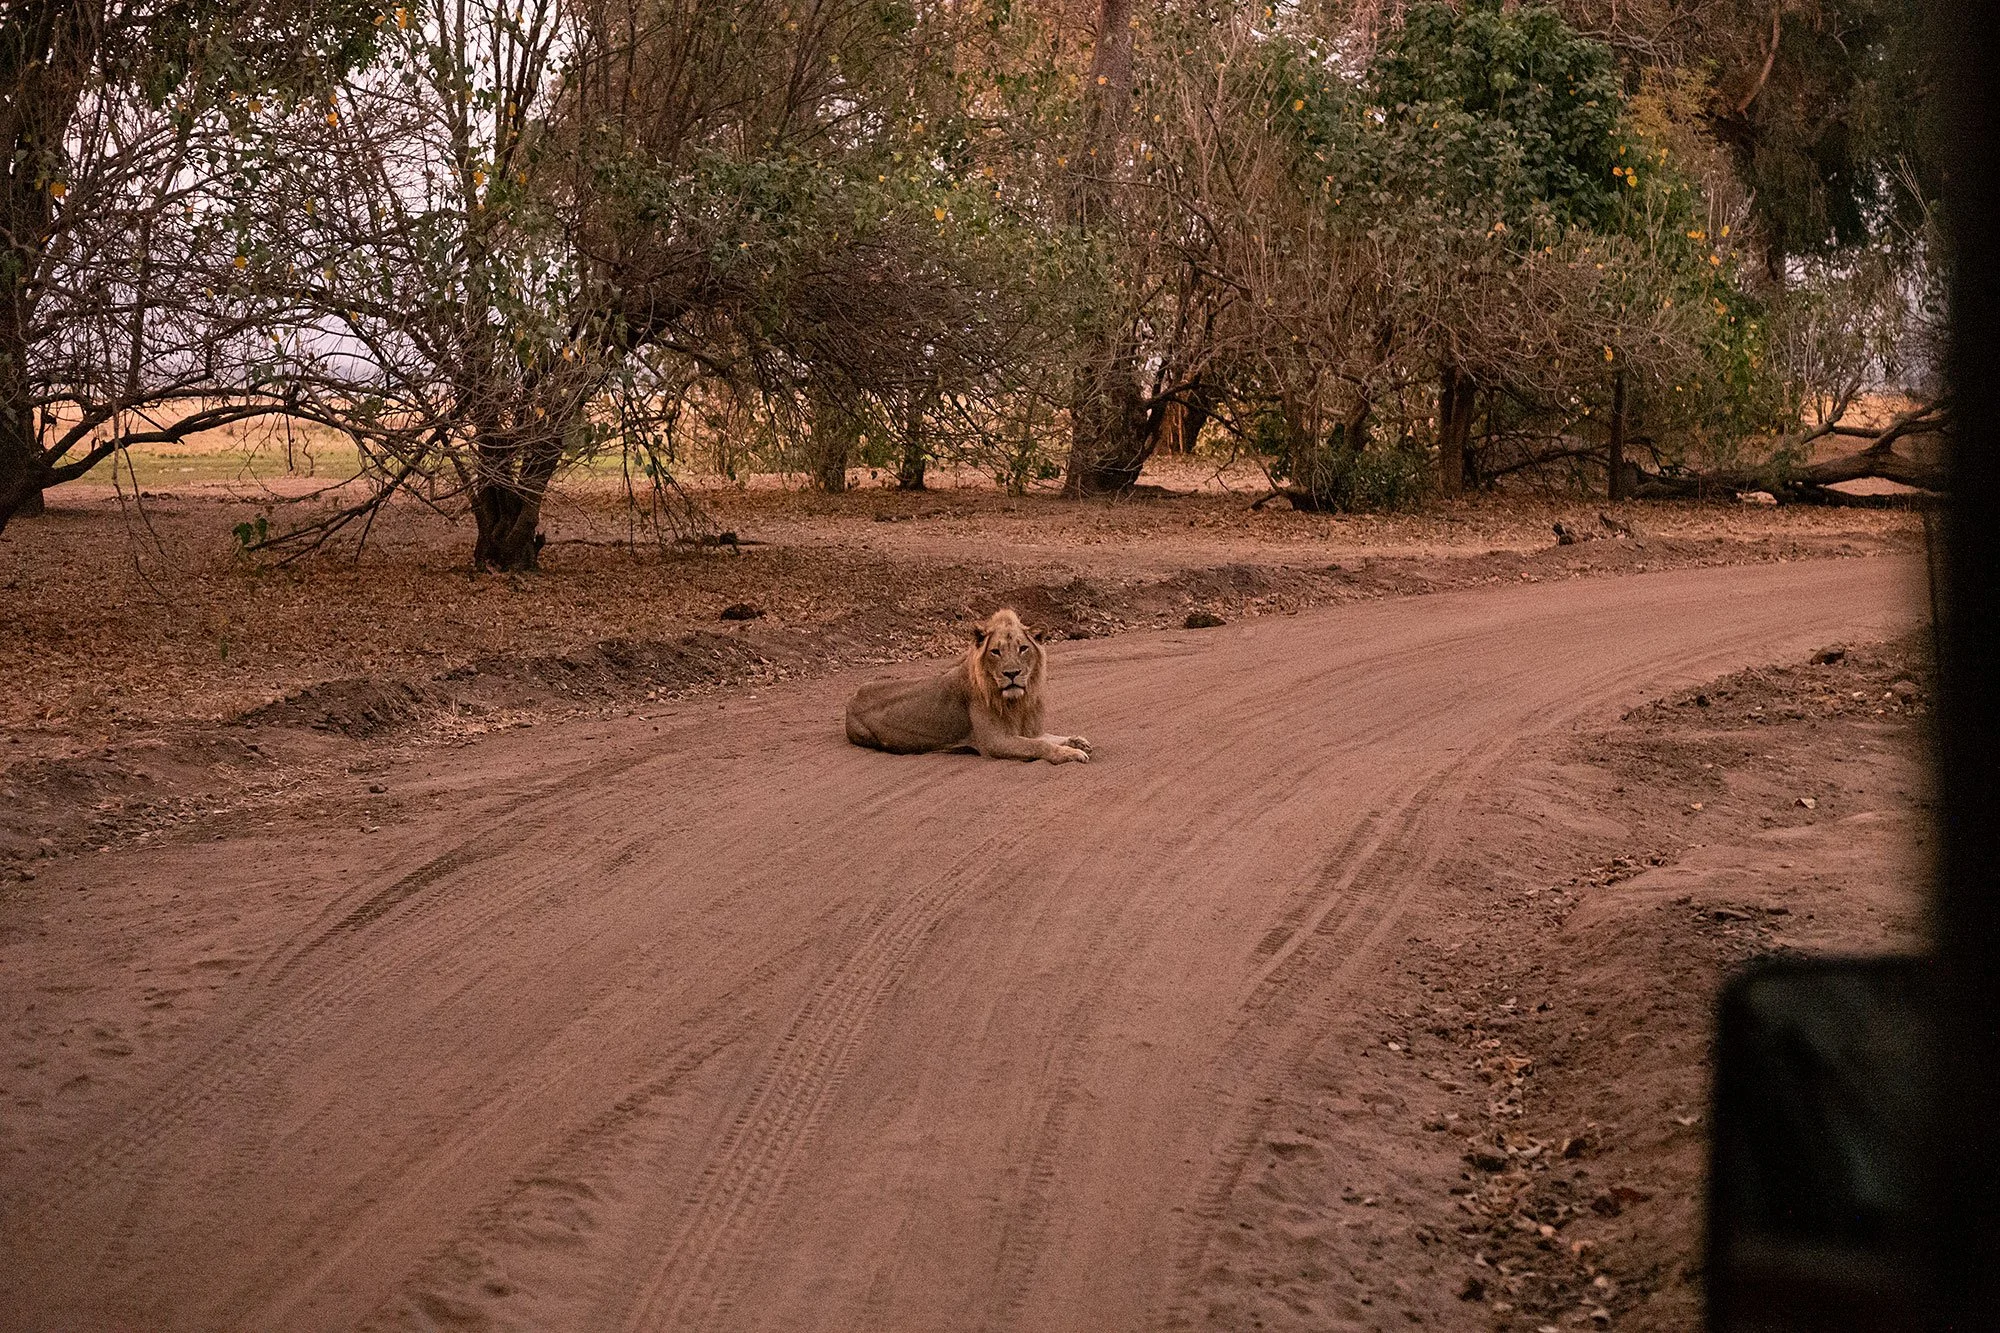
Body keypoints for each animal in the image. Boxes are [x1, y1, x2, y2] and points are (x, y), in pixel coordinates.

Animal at [844, 609, 1093, 763]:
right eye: (996, 651)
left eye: (1023, 648)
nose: (1012, 674)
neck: (1018, 702)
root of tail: (852, 697)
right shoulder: (995, 742)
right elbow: (1039, 746)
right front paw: (1070, 754)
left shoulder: (1027, 731)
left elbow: (1047, 737)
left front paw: (1077, 742)